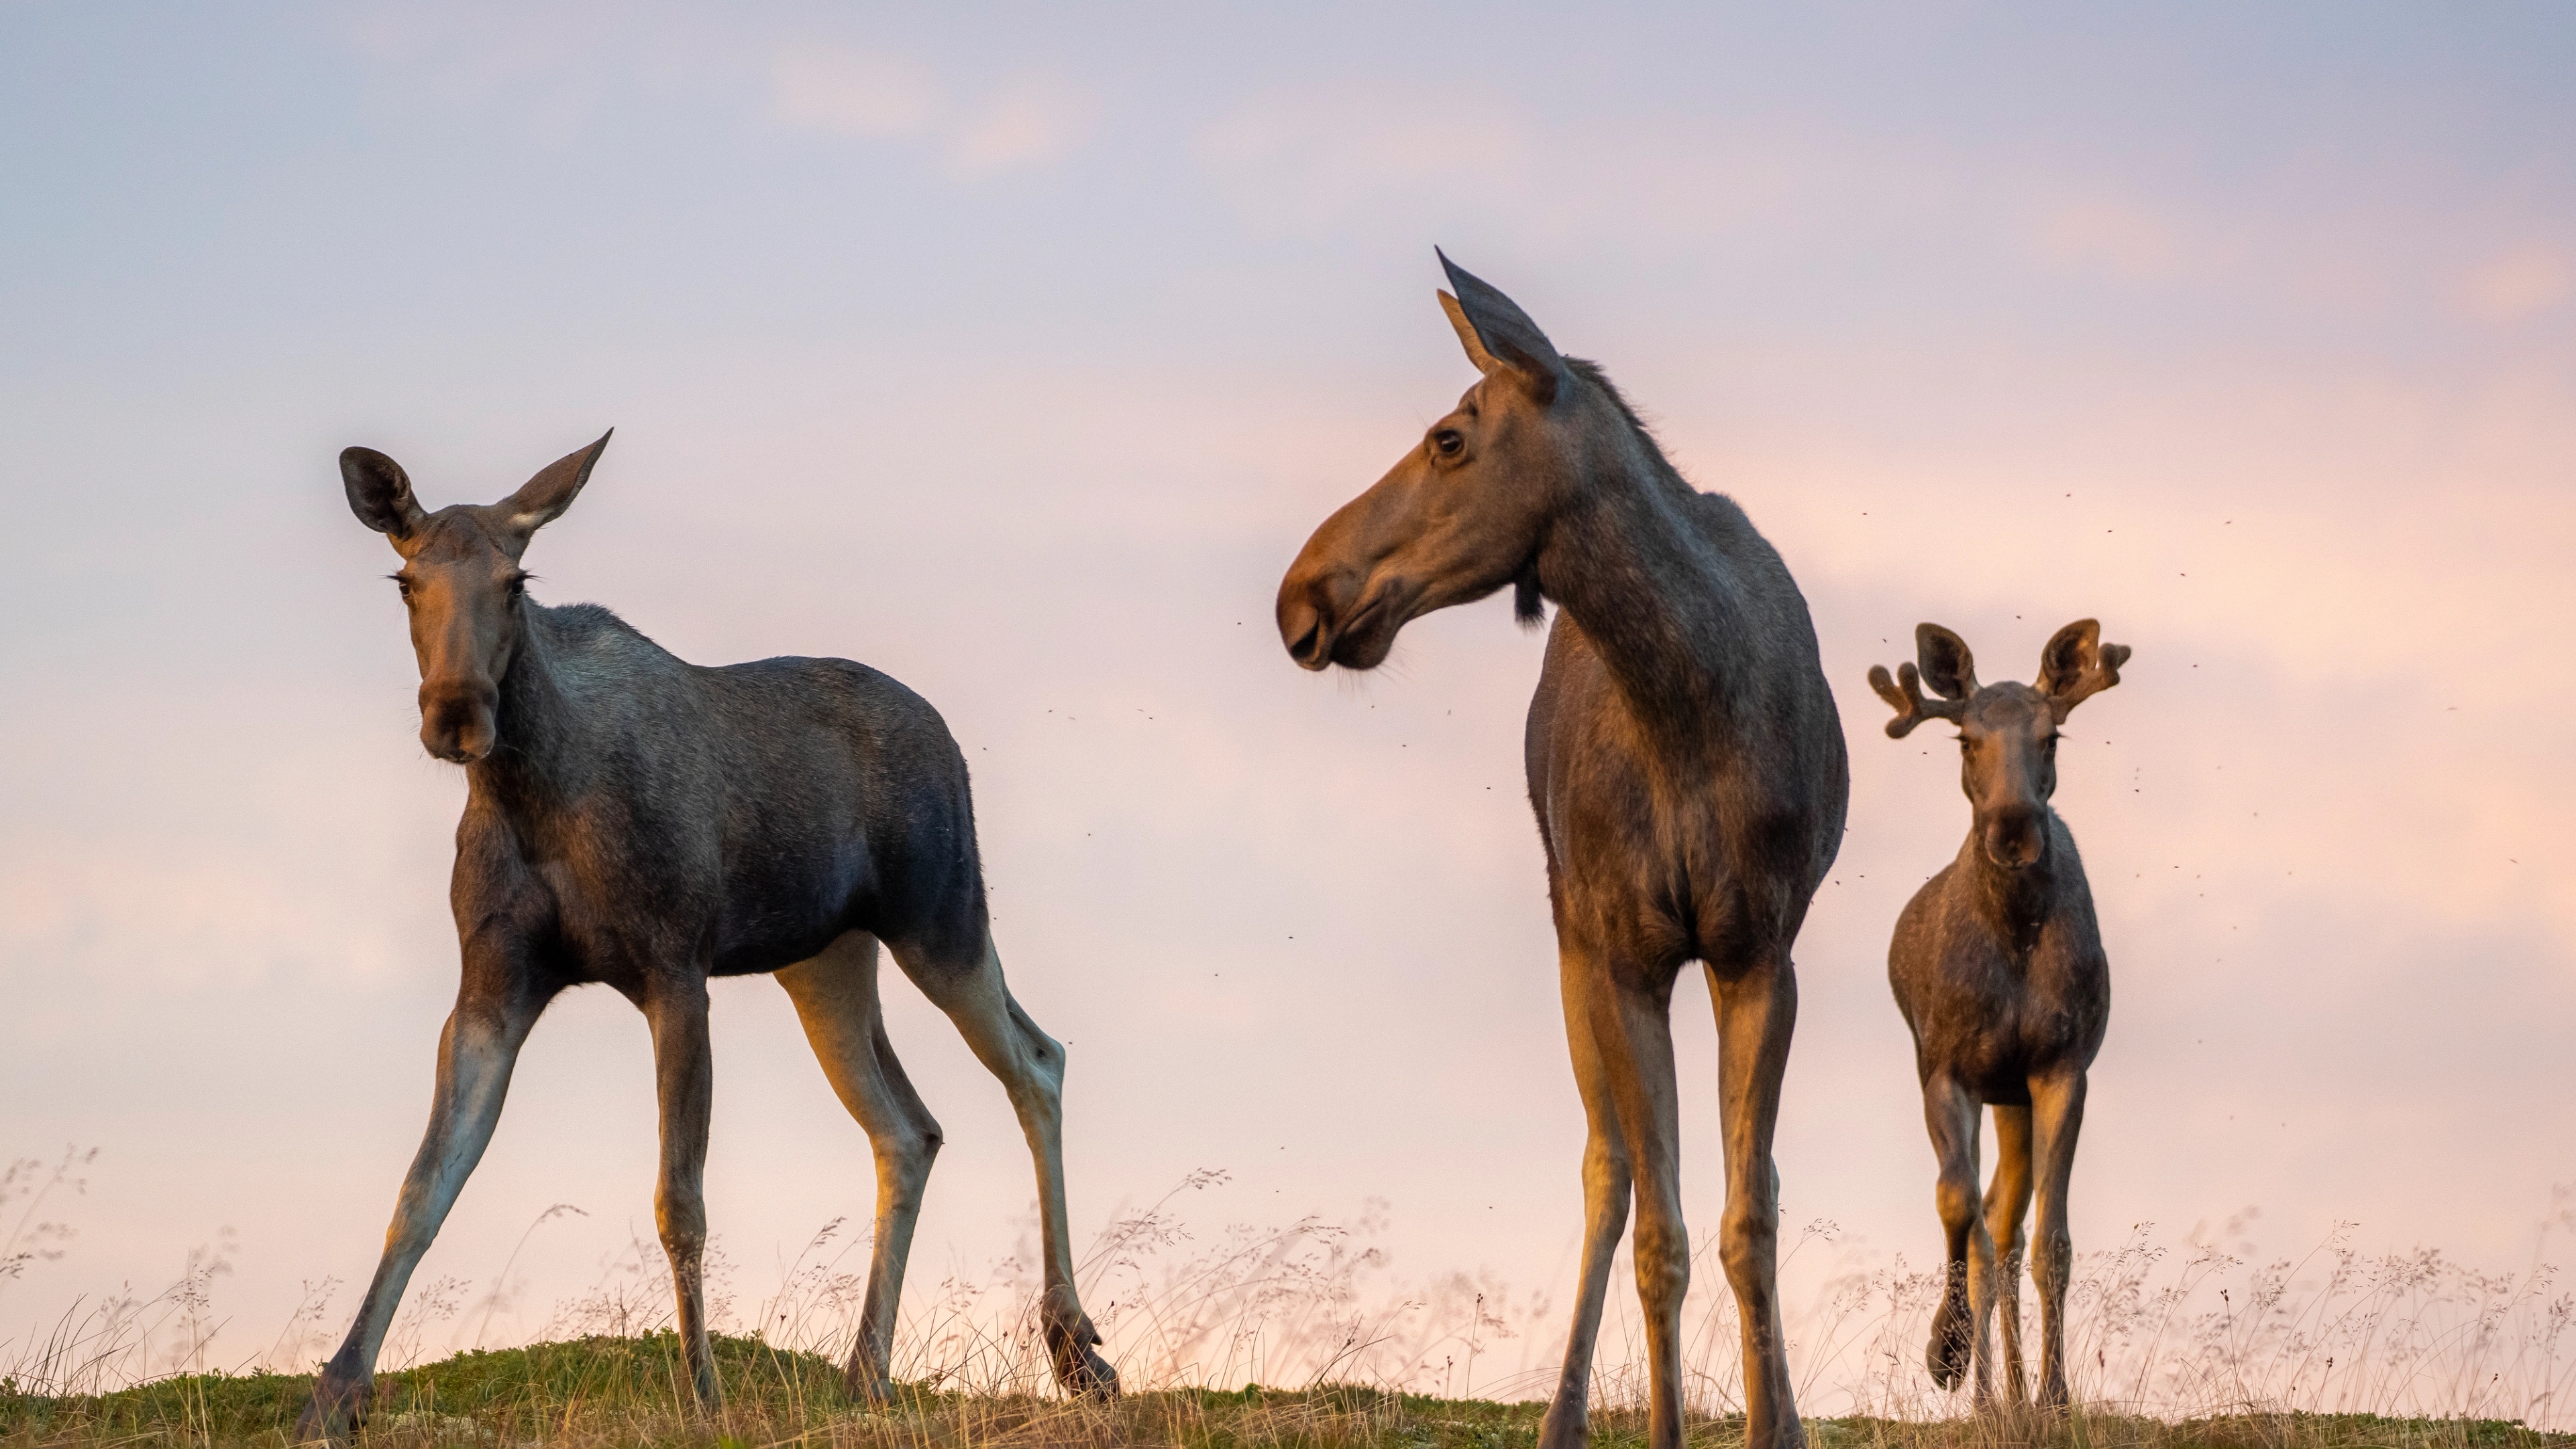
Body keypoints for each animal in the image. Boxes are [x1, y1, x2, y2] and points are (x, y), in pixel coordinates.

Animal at [293, 433, 1119, 1444]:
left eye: (517, 580)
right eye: (406, 580)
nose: (456, 713)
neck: (530, 796)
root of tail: (949, 737)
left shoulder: (675, 970)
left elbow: (678, 1199)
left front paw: (704, 1393)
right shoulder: (490, 988)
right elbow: (421, 1189)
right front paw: (335, 1394)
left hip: (943, 918)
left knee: (1037, 1063)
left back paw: (1075, 1349)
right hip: (825, 962)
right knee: (910, 1128)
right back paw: (868, 1372)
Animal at [1277, 254, 1850, 1449]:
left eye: (1450, 436)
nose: (1300, 594)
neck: (1688, 705)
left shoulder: (1757, 952)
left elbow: (1749, 1218)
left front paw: (1777, 1425)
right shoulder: (1626, 953)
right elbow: (1660, 1230)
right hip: (1573, 944)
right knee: (1610, 1172)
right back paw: (1563, 1416)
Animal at [1867, 619, 2128, 1412]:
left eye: (2052, 737)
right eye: (1964, 739)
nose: (2014, 829)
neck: (2013, 933)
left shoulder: (2060, 1068)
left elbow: (2050, 1243)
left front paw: (2054, 1397)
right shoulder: (1947, 1070)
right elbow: (1960, 1211)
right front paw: (1950, 1359)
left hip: (2014, 1096)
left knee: (2010, 1225)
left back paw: (2013, 1390)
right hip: (1985, 1085)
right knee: (1985, 1221)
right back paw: (1984, 1387)